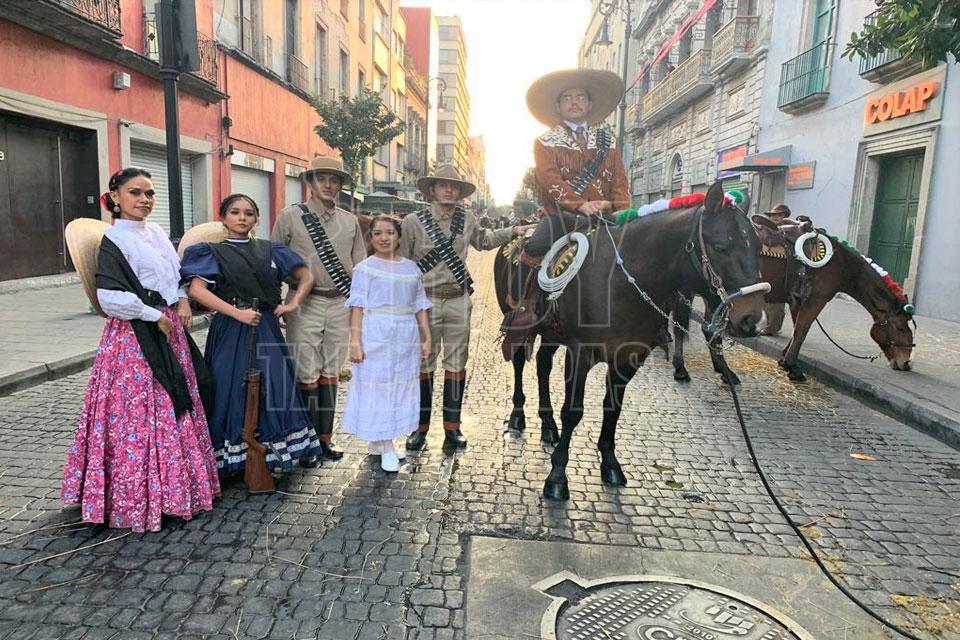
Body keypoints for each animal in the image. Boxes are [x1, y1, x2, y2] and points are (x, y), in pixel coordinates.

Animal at [513, 182, 766, 500]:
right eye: (721, 246)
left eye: (758, 247)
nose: (752, 319)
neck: (620, 283)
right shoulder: (580, 353)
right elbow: (573, 412)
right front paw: (557, 475)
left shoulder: (628, 357)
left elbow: (613, 408)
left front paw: (610, 462)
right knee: (520, 363)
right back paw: (518, 415)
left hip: (550, 335)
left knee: (543, 366)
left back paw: (547, 426)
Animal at [670, 218, 915, 383]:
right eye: (901, 328)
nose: (906, 363)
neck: (840, 263)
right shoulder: (816, 299)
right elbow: (802, 332)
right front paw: (793, 367)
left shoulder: (798, 299)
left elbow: (798, 328)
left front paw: (785, 360)